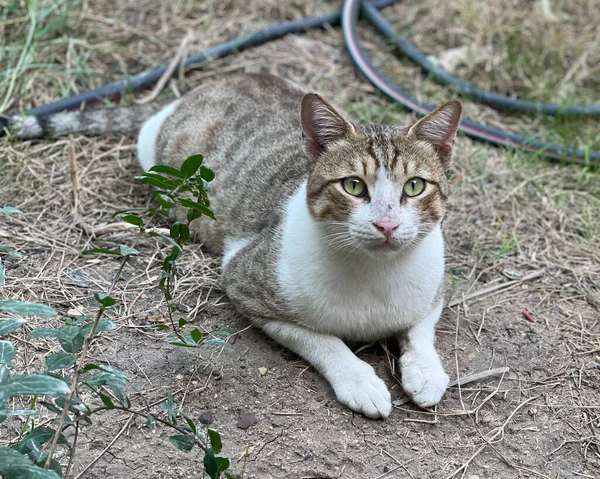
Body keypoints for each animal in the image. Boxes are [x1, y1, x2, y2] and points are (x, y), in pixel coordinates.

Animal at [2, 73, 462, 418]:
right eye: (353, 186)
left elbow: (420, 328)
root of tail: (210, 83)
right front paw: (360, 379)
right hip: (155, 154)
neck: (375, 272)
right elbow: (322, 340)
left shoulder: (435, 286)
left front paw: (424, 370)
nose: (387, 224)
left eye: (414, 187)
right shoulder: (246, 286)